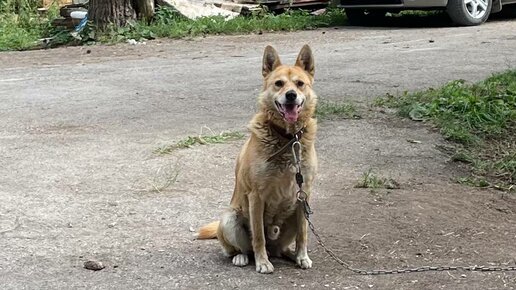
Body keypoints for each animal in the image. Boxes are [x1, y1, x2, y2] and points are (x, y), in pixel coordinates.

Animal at [199, 44, 316, 274]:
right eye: (279, 83)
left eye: (300, 83)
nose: (291, 95)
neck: (287, 139)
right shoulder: (256, 196)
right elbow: (259, 236)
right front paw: (262, 263)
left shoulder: (303, 194)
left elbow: (303, 234)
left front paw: (302, 256)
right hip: (230, 218)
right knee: (241, 248)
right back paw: (243, 257)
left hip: (292, 217)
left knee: (281, 247)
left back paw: (289, 254)